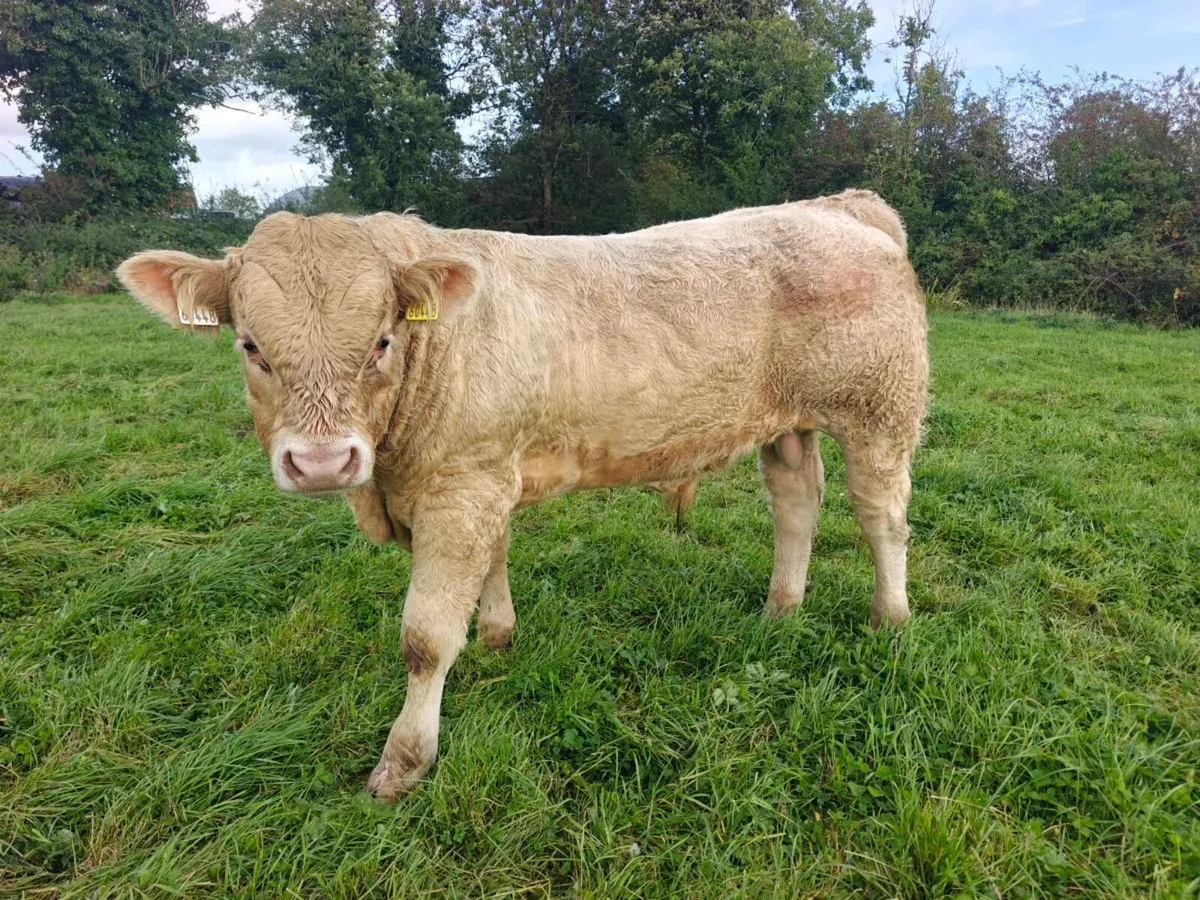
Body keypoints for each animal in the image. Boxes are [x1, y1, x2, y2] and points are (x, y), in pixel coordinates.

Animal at [116, 189, 928, 800]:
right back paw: (780, 609)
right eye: (250, 347)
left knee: (880, 515)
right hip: (787, 422)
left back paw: (889, 618)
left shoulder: (461, 486)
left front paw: (404, 761)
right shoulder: (483, 475)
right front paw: (499, 636)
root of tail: (839, 206)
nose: (321, 462)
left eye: (381, 341)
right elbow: (494, 563)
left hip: (880, 408)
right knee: (797, 501)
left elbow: (424, 637)